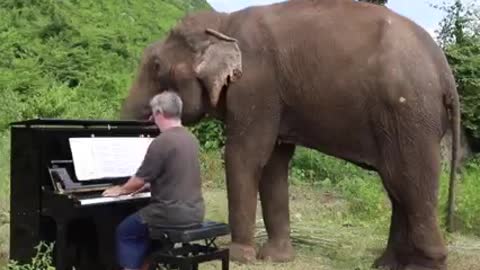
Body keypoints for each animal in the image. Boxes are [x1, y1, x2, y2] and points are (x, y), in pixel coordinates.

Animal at [120, 1, 462, 268]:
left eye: (156, 65)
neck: (223, 23)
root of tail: (446, 72)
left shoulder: (255, 86)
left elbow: (245, 155)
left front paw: (240, 255)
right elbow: (274, 163)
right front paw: (276, 258)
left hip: (409, 114)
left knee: (409, 180)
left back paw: (423, 265)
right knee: (397, 186)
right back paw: (387, 264)